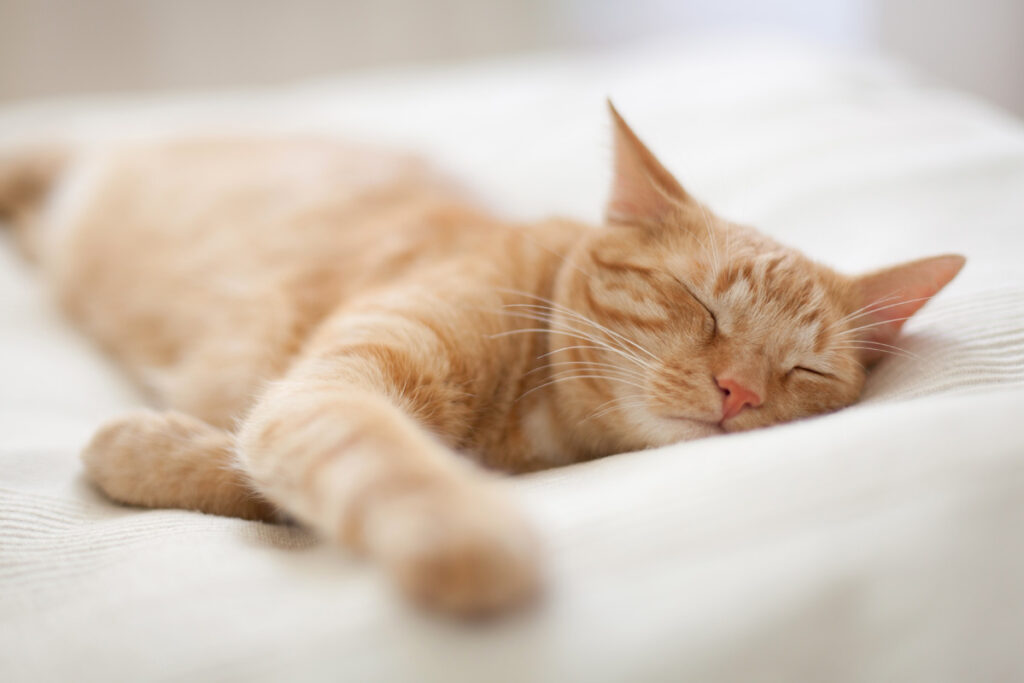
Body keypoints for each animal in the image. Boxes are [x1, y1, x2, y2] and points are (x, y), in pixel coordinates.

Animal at [0, 104, 958, 618]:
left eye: (806, 371)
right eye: (702, 303)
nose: (740, 391)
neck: (531, 426)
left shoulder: (295, 402)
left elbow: (254, 467)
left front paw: (141, 448)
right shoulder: (330, 387)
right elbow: (375, 452)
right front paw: (460, 530)